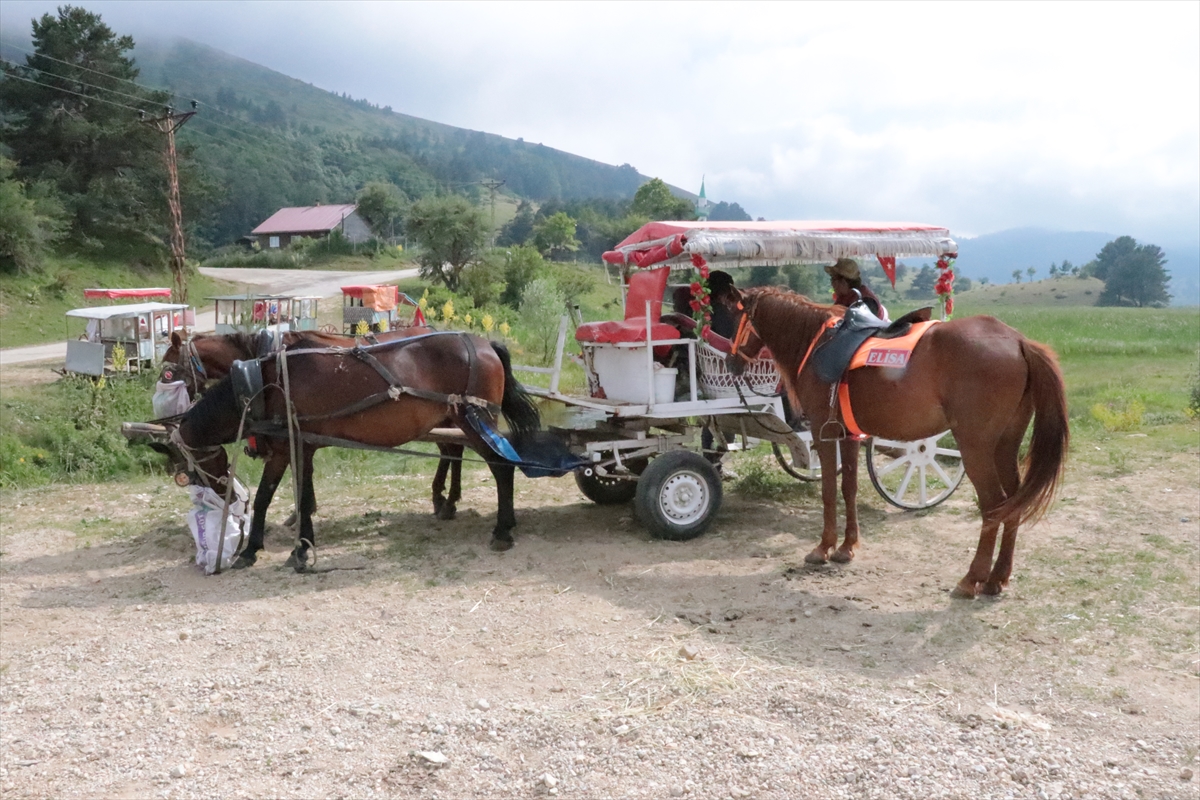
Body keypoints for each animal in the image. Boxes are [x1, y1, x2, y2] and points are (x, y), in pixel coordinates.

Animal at [163, 331, 468, 522]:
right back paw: (444, 499)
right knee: (452, 450)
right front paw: (304, 511)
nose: (165, 411)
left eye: (167, 371)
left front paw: (302, 512)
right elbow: (304, 474)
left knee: (454, 449)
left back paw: (447, 501)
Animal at [720, 291, 1070, 597]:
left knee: (994, 505)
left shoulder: (823, 431)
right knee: (1013, 501)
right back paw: (997, 578)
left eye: (736, 319)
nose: (731, 362)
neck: (816, 342)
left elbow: (828, 491)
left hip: (975, 448)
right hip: (1004, 446)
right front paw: (847, 547)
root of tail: (1018, 341)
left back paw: (972, 578)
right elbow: (848, 488)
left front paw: (823, 547)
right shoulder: (848, 435)